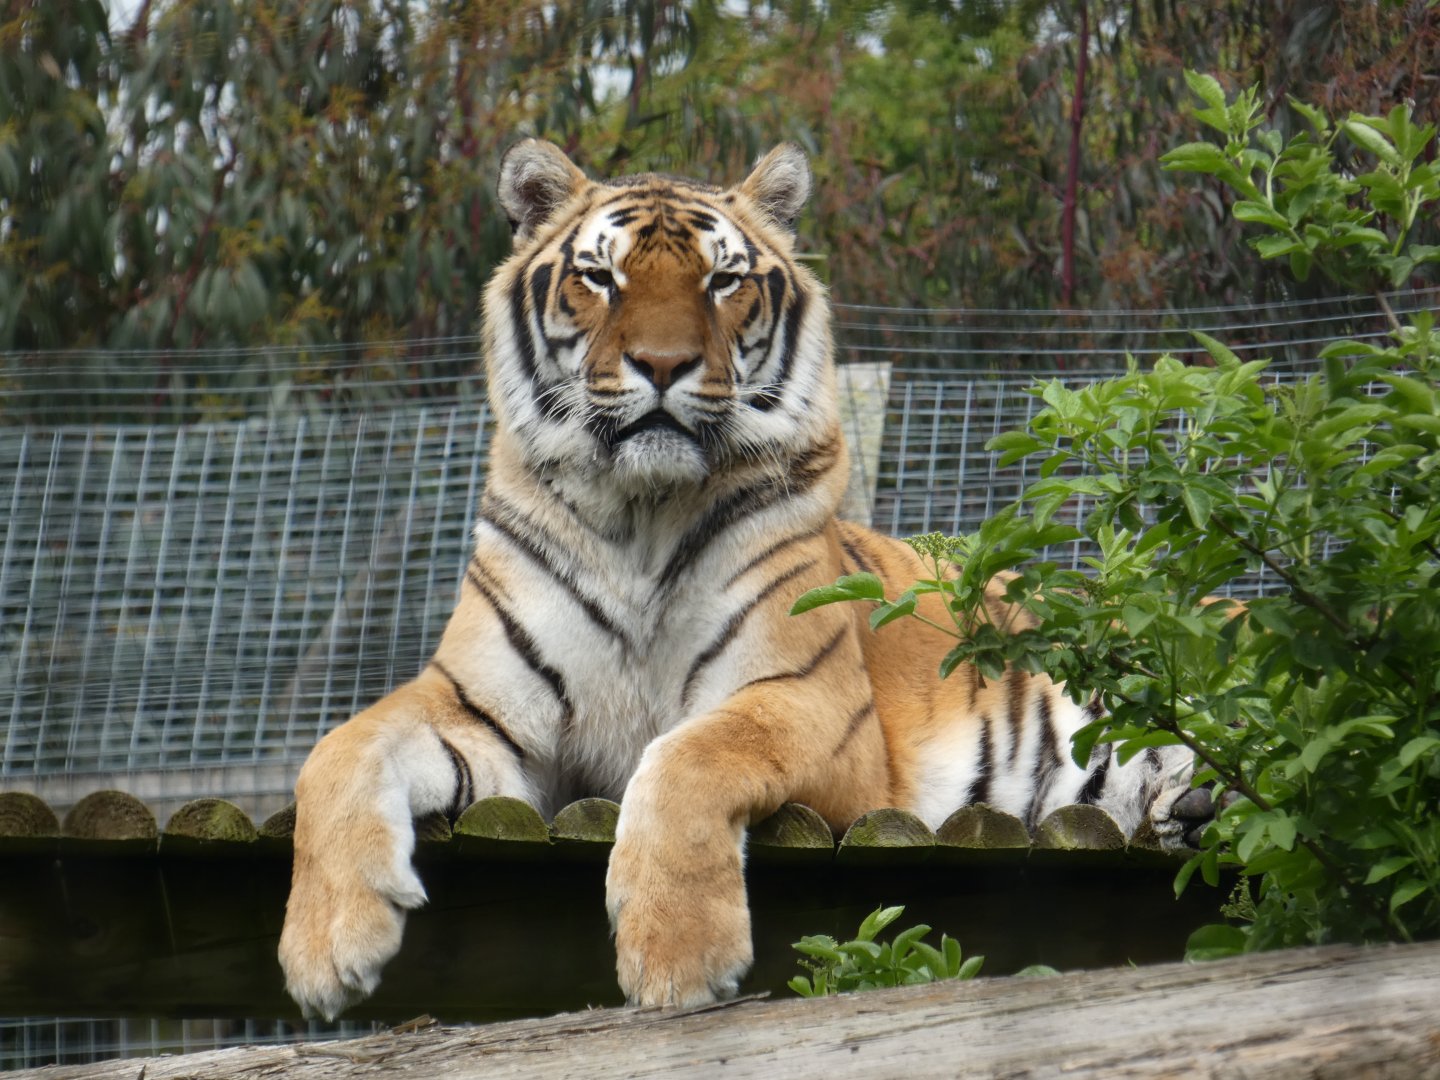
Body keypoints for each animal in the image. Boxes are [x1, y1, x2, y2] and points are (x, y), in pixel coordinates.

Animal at [278, 139, 1200, 1020]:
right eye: (600, 277)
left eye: (722, 280)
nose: (662, 364)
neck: (639, 517)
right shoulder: (475, 703)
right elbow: (336, 750)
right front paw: (324, 952)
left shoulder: (803, 697)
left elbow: (687, 756)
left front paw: (678, 958)